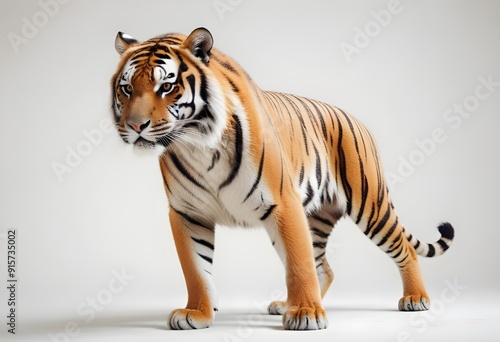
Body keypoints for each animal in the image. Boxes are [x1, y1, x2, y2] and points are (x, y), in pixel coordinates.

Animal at [109, 28, 454, 330]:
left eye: (166, 87)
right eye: (127, 89)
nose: (136, 126)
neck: (198, 144)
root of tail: (357, 120)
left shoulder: (284, 203)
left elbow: (299, 266)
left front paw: (307, 315)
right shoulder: (187, 213)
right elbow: (196, 270)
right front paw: (197, 313)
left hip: (369, 204)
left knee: (402, 248)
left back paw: (415, 298)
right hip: (316, 218)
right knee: (324, 268)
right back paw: (288, 304)